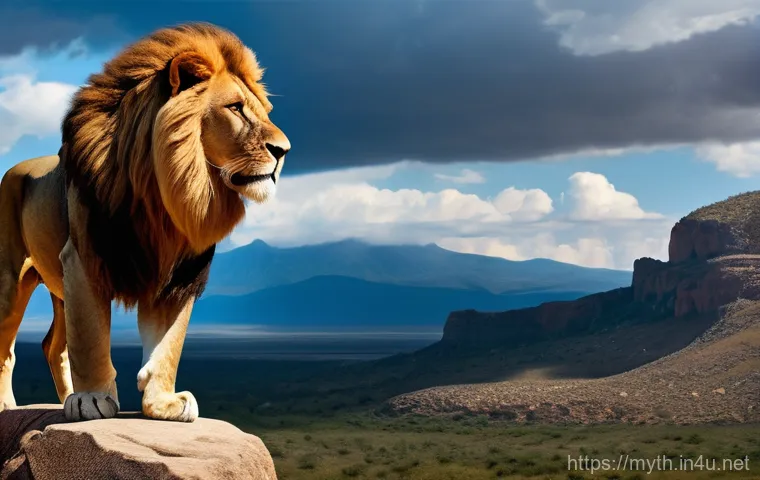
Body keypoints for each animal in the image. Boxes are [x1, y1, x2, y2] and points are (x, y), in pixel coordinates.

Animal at [0, 23, 289, 422]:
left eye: (265, 112)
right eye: (234, 108)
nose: (284, 151)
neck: (166, 190)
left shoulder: (181, 276)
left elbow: (169, 343)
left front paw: (163, 403)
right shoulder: (84, 259)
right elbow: (90, 338)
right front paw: (91, 398)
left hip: (56, 285)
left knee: (52, 345)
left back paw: (65, 397)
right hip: (10, 282)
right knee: (8, 349)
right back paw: (10, 404)